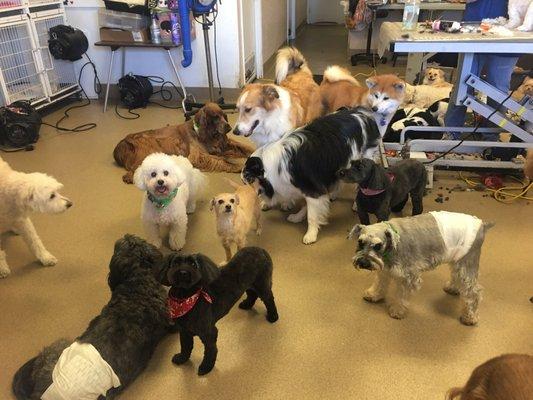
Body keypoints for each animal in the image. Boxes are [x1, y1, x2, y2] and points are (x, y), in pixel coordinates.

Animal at [112, 103, 254, 184]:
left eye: (224, 116)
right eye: (215, 117)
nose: (229, 127)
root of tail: (124, 141)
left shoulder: (224, 144)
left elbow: (244, 147)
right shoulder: (198, 156)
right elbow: (223, 160)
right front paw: (239, 166)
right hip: (149, 148)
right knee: (133, 172)